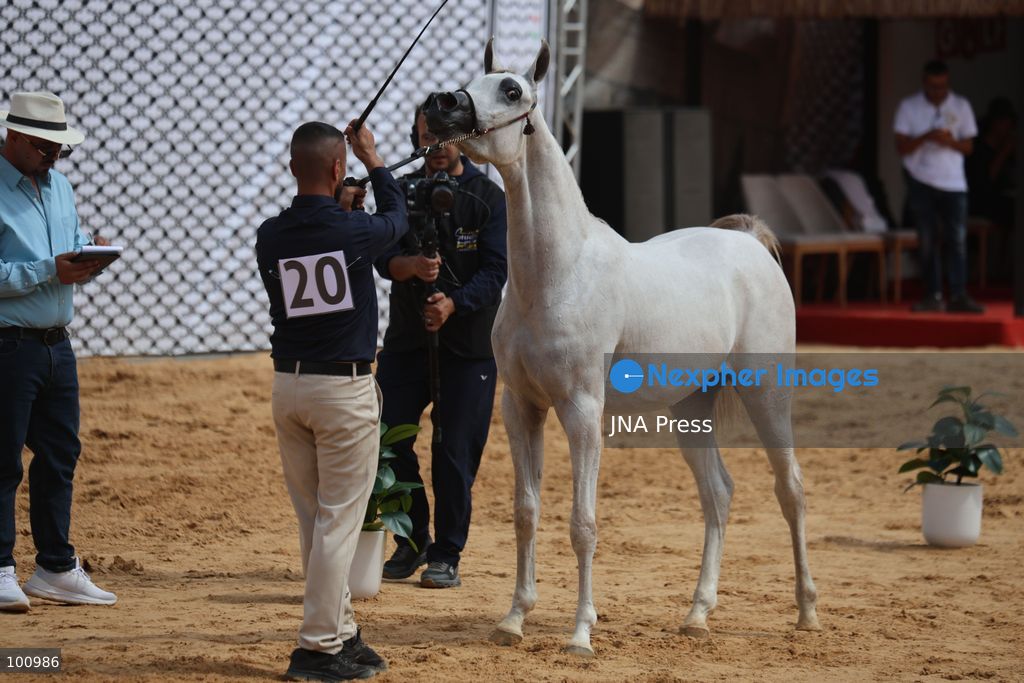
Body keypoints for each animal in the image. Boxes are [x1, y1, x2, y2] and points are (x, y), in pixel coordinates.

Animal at [422, 39, 819, 657]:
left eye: (512, 90)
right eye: (472, 79)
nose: (441, 104)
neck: (558, 274)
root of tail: (750, 242)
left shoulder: (583, 412)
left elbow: (582, 523)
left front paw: (581, 633)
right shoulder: (521, 408)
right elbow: (526, 512)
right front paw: (514, 618)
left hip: (767, 395)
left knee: (790, 489)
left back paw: (805, 611)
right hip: (691, 409)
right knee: (719, 494)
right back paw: (697, 613)